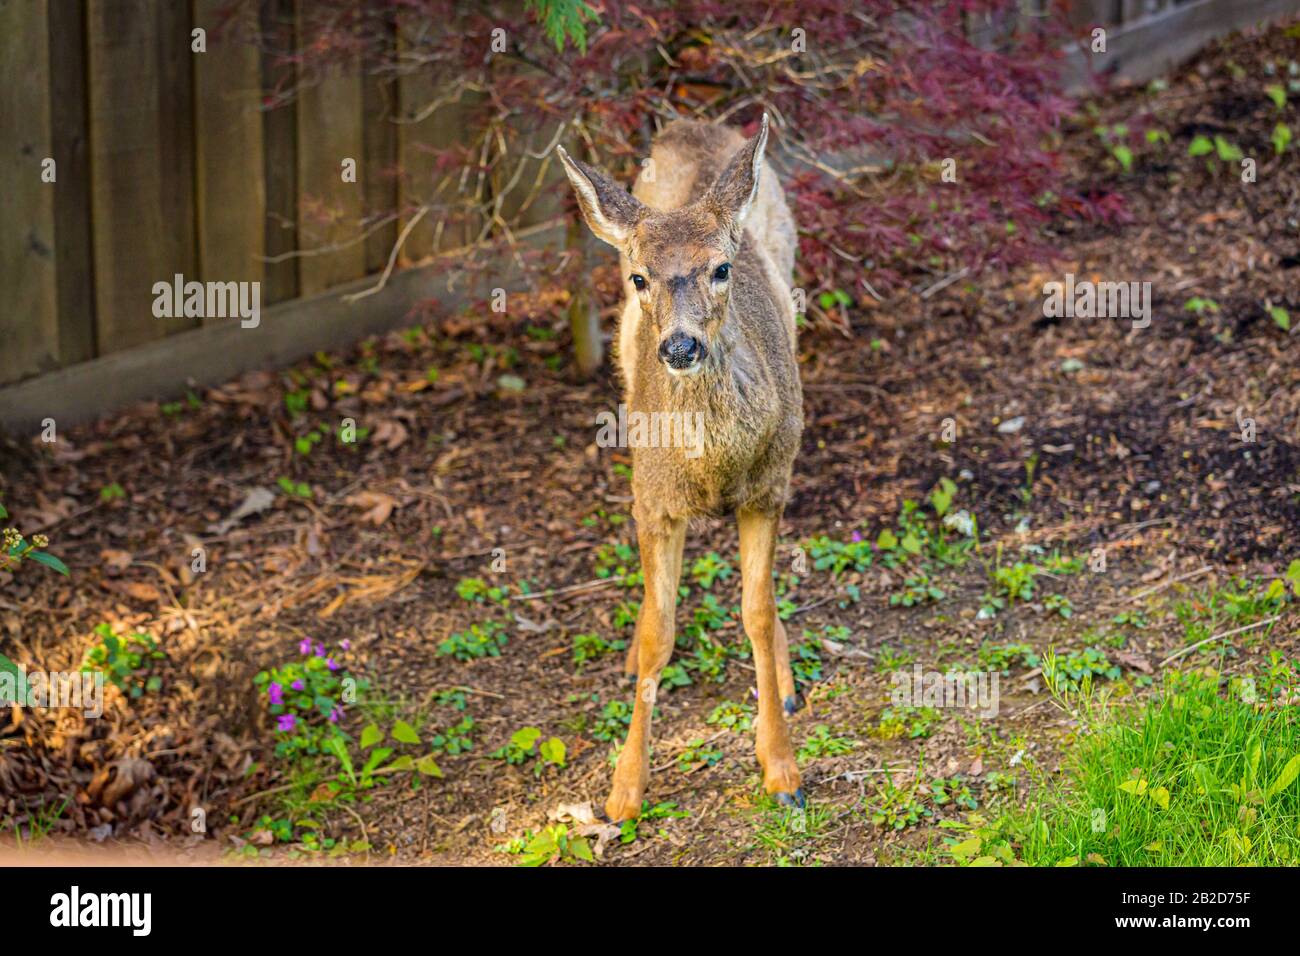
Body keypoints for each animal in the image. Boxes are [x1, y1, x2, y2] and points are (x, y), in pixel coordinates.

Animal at [556, 114, 805, 822]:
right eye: (642, 277)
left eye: (720, 268)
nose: (680, 346)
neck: (714, 471)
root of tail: (695, 126)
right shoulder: (652, 499)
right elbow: (656, 632)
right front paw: (623, 789)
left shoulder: (768, 489)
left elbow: (755, 610)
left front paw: (780, 766)